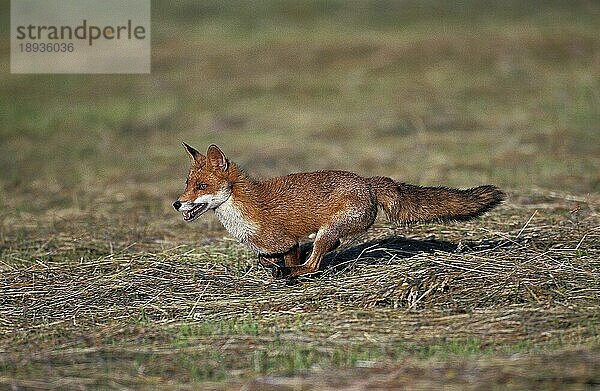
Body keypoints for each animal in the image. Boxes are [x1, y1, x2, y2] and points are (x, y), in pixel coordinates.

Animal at [173, 145, 506, 278]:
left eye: (201, 186)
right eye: (187, 184)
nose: (177, 203)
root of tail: (368, 182)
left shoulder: (288, 242)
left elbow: (288, 259)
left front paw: (285, 274)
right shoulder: (274, 246)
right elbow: (264, 258)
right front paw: (273, 269)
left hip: (327, 230)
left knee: (314, 264)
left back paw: (296, 273)